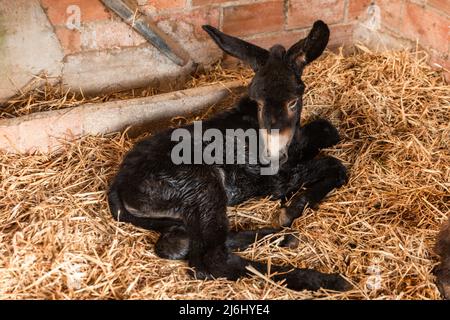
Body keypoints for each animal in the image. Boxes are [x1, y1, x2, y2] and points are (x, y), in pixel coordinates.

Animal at [107, 19, 350, 290]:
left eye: (294, 100)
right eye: (258, 101)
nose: (272, 151)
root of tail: (118, 186)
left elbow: (326, 130)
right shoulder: (273, 180)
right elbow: (334, 164)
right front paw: (291, 210)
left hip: (176, 214)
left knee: (178, 242)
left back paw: (282, 238)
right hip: (201, 188)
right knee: (210, 259)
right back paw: (324, 278)